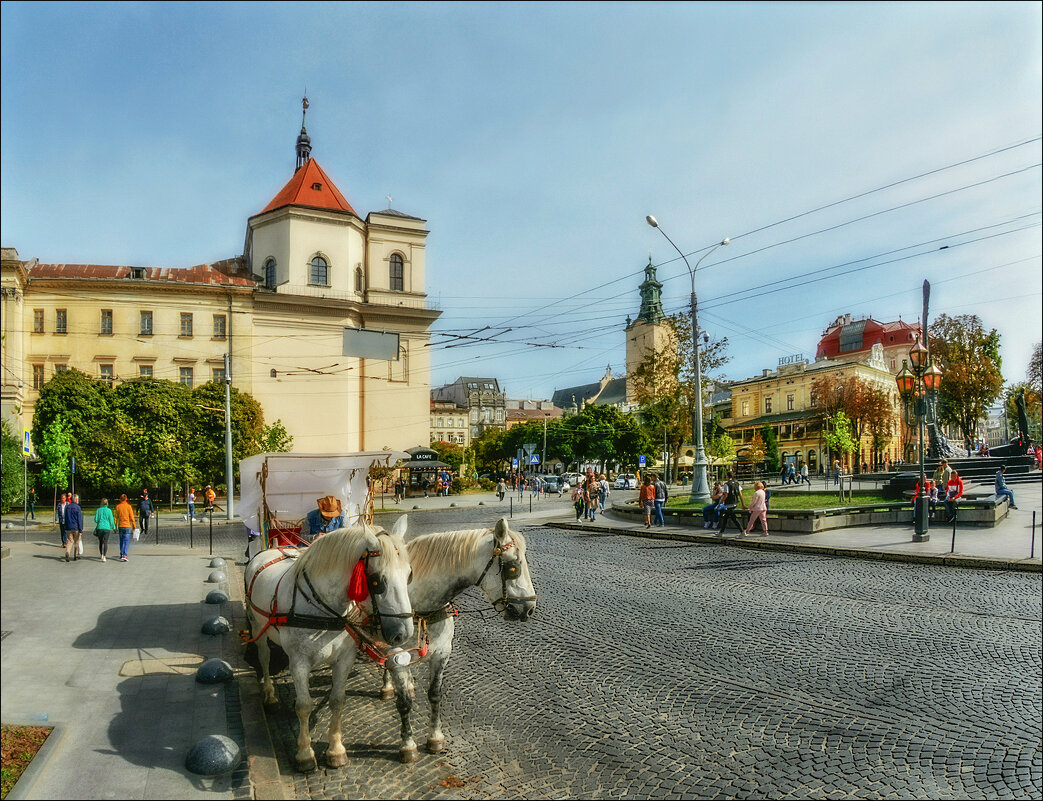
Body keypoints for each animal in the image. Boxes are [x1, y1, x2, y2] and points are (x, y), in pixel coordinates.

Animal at [246, 517, 413, 771]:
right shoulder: (299, 662)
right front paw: (305, 753)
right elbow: (304, 706)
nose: (403, 634)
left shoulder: (345, 659)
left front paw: (336, 750)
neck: (323, 607)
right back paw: (270, 694)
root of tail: (273, 548)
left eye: (409, 575)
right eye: (376, 581)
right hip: (257, 627)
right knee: (264, 658)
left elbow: (337, 701)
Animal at [379, 517, 538, 759]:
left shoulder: (441, 654)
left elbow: (435, 695)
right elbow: (404, 702)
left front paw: (435, 737)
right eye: (513, 567)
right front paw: (408, 744)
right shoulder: (398, 657)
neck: (420, 606)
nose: (529, 608)